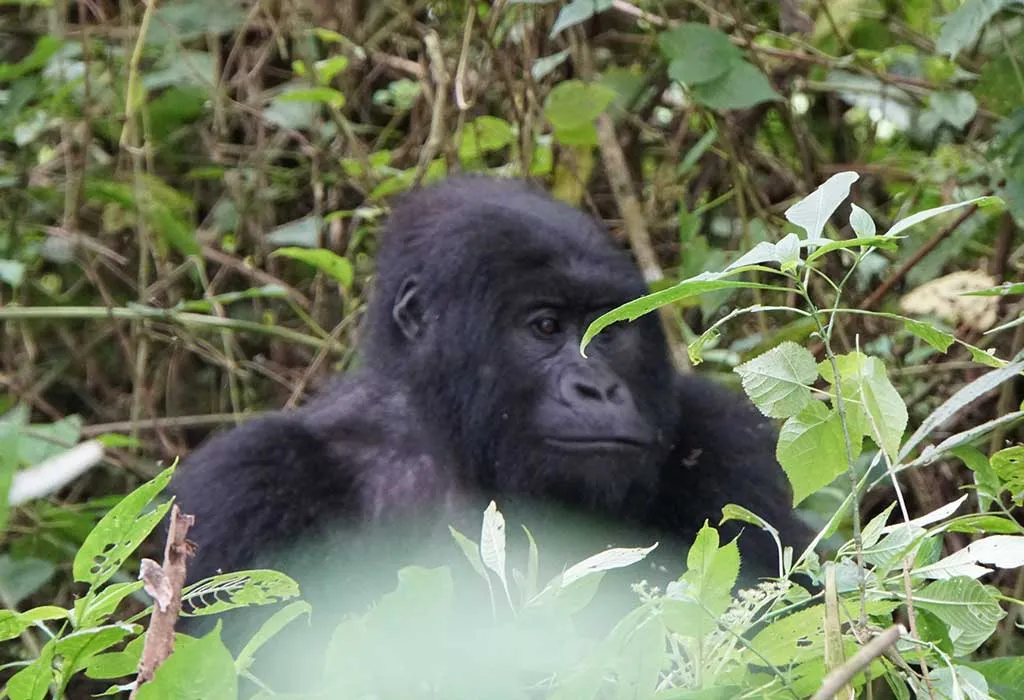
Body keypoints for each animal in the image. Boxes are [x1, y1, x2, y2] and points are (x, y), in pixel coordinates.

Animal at [172, 173, 811, 650]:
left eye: (608, 334)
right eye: (546, 326)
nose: (598, 390)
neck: (450, 438)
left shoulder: (722, 440)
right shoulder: (249, 484)